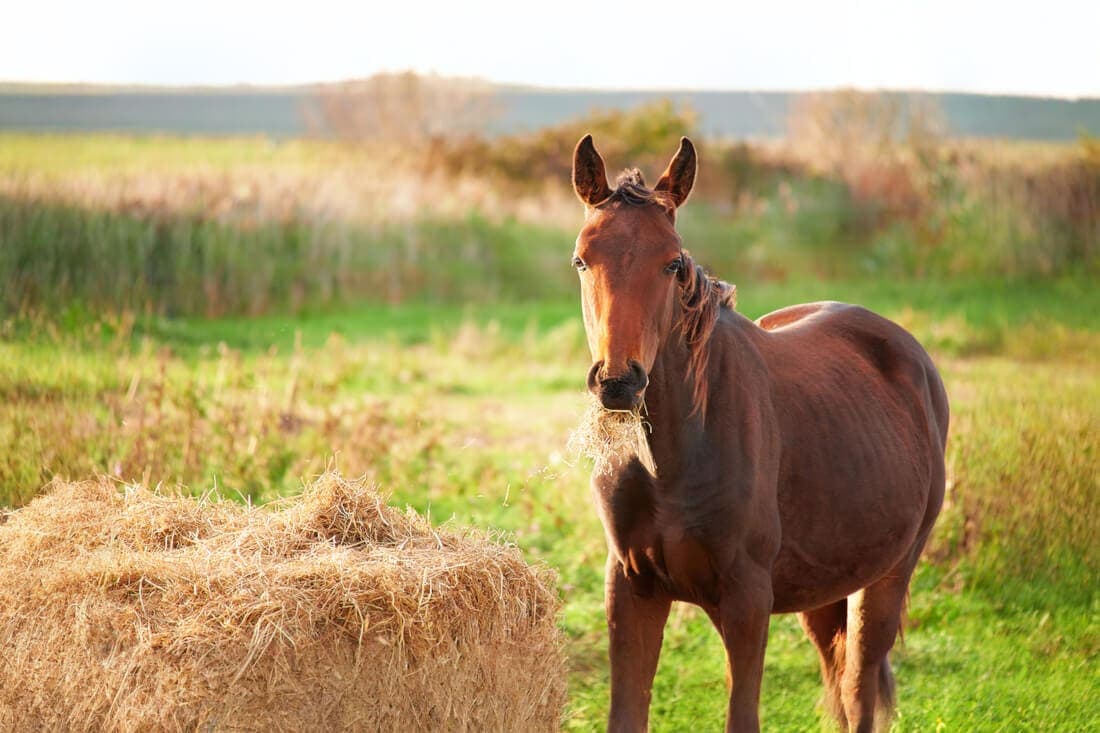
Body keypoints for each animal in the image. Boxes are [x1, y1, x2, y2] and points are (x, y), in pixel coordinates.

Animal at [570, 134, 948, 733]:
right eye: (582, 259)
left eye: (671, 262)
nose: (618, 382)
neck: (675, 457)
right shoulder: (631, 588)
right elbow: (627, 713)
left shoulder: (747, 600)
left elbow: (742, 713)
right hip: (825, 592)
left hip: (884, 583)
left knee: (860, 689)